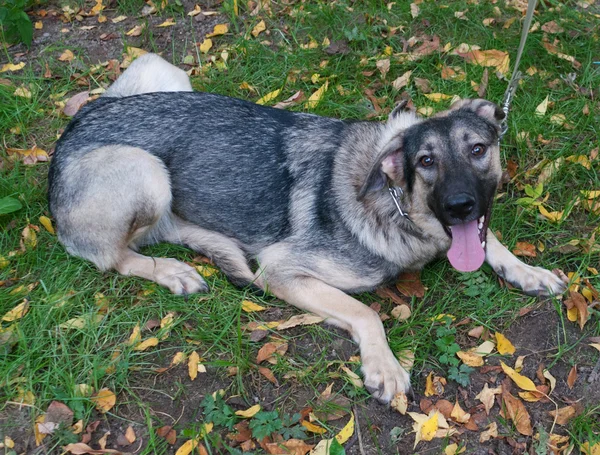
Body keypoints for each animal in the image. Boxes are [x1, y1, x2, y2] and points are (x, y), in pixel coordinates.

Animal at [48, 56, 568, 402]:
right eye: (426, 161)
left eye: (478, 149)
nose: (461, 206)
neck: (393, 202)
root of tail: (76, 125)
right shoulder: (282, 270)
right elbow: (367, 313)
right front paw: (383, 366)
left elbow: (491, 240)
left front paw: (529, 271)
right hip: (147, 171)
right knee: (115, 255)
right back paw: (171, 270)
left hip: (169, 78)